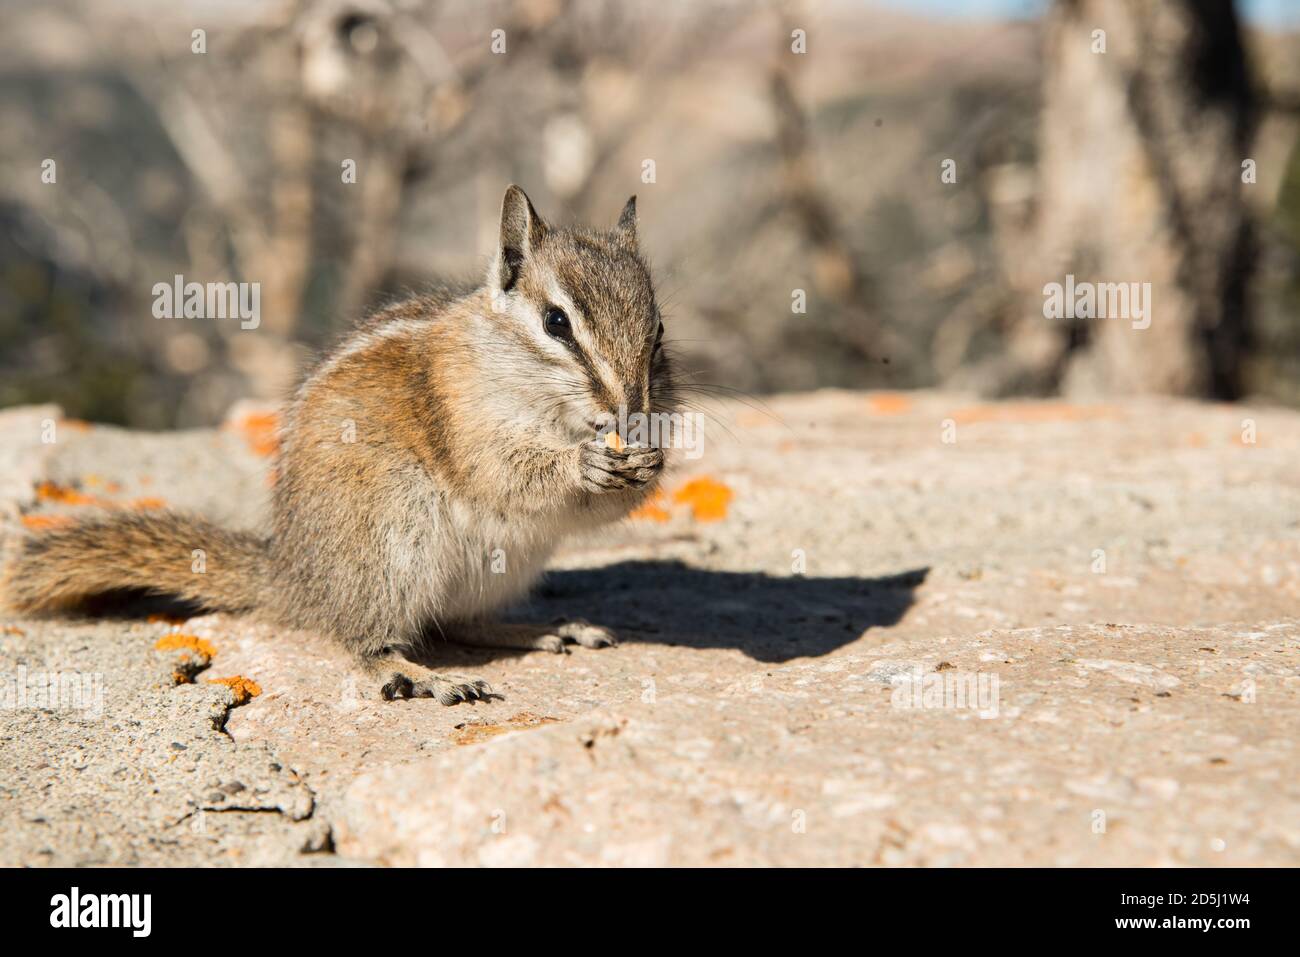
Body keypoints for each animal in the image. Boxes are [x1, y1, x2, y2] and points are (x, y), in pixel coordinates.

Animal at [2, 185, 676, 704]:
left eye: (660, 330)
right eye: (556, 323)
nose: (631, 412)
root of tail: (295, 578)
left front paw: (650, 459)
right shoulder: (465, 420)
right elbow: (505, 472)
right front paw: (583, 463)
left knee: (462, 620)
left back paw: (542, 630)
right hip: (391, 534)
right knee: (365, 638)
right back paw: (420, 675)